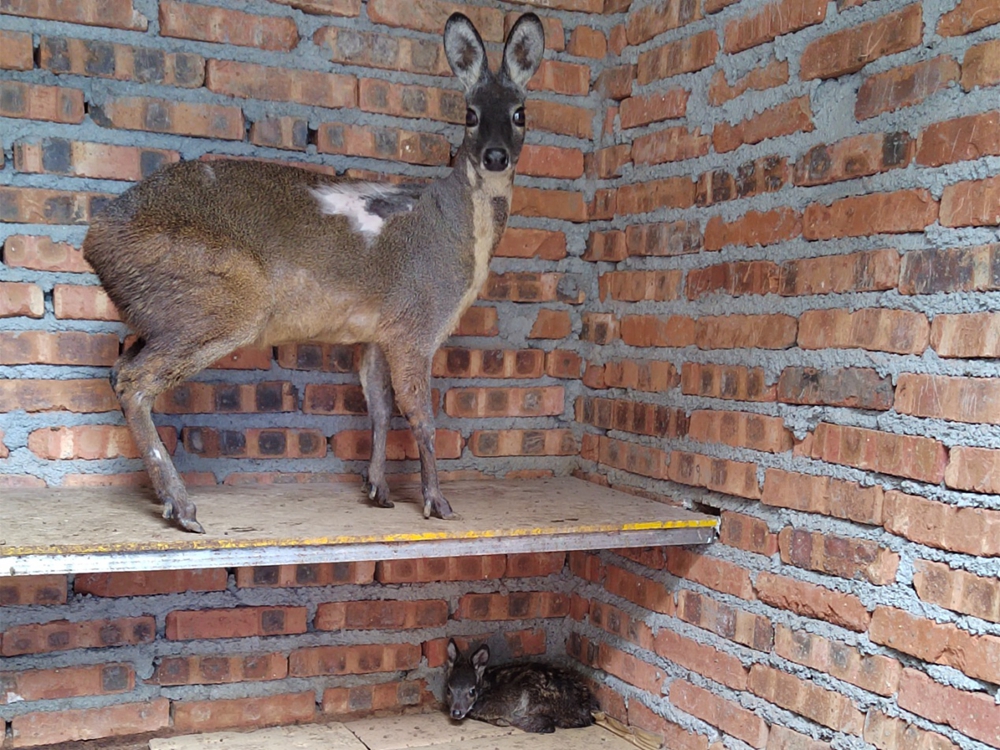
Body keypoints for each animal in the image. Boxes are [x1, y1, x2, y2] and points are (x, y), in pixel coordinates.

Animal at [81, 11, 544, 536]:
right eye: (469, 114)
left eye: (520, 113)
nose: (494, 156)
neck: (453, 233)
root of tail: (94, 240)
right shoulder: (415, 325)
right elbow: (421, 417)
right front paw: (437, 503)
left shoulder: (375, 332)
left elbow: (380, 409)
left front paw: (378, 491)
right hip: (224, 300)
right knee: (135, 381)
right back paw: (183, 508)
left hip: (160, 313)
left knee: (118, 368)